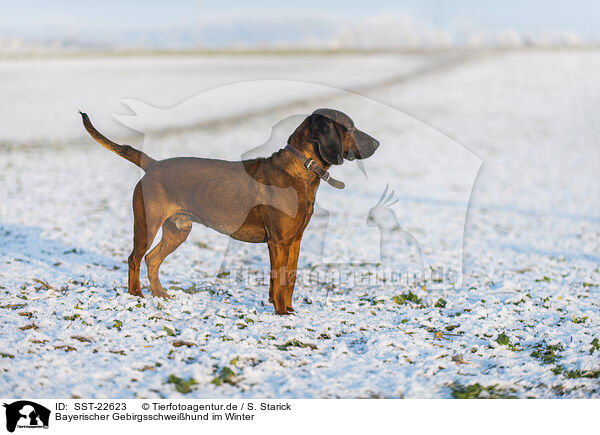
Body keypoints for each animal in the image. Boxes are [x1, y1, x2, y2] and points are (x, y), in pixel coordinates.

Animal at [80, 108, 380, 314]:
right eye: (350, 127)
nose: (377, 143)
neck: (299, 169)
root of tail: (152, 164)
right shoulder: (279, 242)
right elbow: (280, 279)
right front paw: (281, 313)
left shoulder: (294, 240)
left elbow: (290, 278)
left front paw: (288, 309)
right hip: (147, 225)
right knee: (134, 258)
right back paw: (136, 296)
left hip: (177, 230)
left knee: (152, 260)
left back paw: (160, 295)